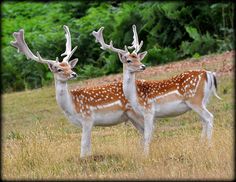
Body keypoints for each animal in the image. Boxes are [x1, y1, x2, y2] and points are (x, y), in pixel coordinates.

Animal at [10, 24, 144, 157]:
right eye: (59, 69)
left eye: (70, 66)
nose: (74, 74)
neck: (71, 107)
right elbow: (87, 147)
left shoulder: (87, 118)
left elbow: (84, 147)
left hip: (136, 113)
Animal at [91, 24, 221, 155]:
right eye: (129, 60)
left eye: (138, 58)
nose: (143, 66)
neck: (135, 97)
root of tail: (209, 74)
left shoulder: (148, 110)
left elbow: (147, 135)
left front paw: (145, 155)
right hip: (203, 101)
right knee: (204, 121)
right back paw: (201, 145)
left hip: (195, 100)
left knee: (209, 117)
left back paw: (208, 146)